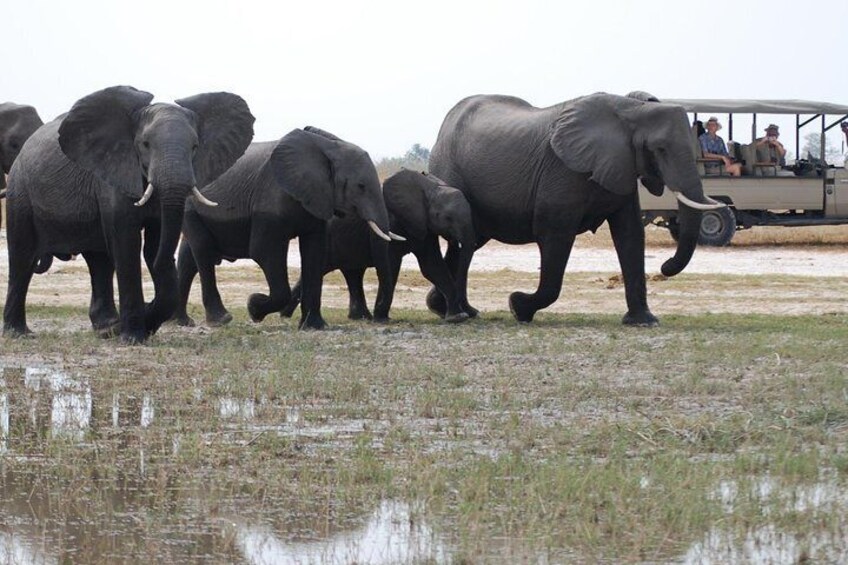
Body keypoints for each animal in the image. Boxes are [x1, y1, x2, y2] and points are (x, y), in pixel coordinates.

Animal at [3, 83, 255, 340]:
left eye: (195, 147)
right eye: (145, 144)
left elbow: (153, 243)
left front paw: (140, 324)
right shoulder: (113, 174)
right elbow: (126, 243)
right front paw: (133, 337)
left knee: (100, 261)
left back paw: (106, 328)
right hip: (20, 192)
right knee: (23, 257)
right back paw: (19, 333)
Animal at [174, 122, 400, 326]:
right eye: (361, 186)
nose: (382, 319)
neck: (329, 145)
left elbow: (315, 252)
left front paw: (314, 326)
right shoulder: (268, 200)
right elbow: (263, 250)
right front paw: (253, 307)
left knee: (188, 257)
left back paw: (181, 321)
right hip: (190, 205)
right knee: (203, 251)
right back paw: (220, 319)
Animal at [280, 169, 474, 322]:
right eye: (447, 217)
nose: (469, 311)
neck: (430, 188)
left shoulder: (424, 226)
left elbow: (432, 266)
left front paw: (457, 317)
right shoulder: (391, 222)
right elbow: (390, 264)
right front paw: (382, 318)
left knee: (351, 273)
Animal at [430, 90, 724, 324]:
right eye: (660, 149)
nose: (664, 267)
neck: (631, 109)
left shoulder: (622, 167)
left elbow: (629, 234)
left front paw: (644, 322)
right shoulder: (561, 172)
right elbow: (554, 232)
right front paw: (518, 307)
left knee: (468, 242)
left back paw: (451, 309)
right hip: (449, 172)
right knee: (463, 242)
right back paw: (455, 311)